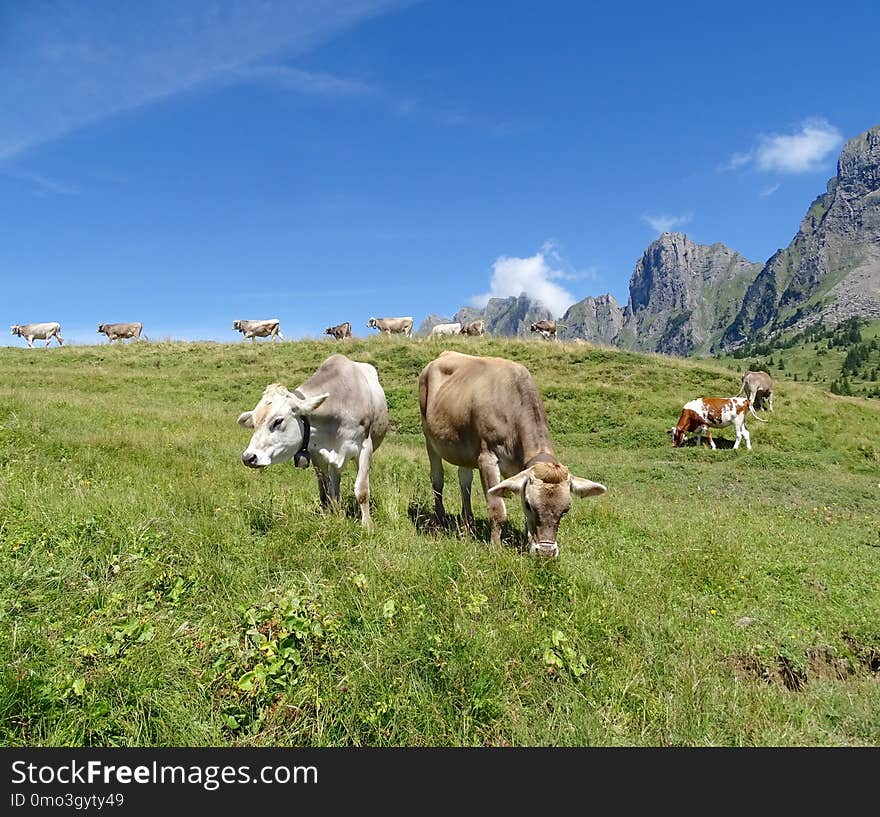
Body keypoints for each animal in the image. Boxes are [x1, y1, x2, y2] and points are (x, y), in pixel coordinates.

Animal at [235, 354, 386, 524]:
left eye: (278, 421)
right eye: (254, 423)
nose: (248, 457)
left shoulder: (366, 447)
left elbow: (362, 490)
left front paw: (367, 525)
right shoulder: (317, 454)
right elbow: (325, 490)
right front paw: (333, 515)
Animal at [418, 348, 604, 556]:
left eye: (565, 510)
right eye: (530, 505)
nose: (546, 552)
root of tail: (444, 354)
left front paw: (528, 541)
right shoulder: (487, 458)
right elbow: (496, 508)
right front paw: (496, 548)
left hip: (463, 447)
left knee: (464, 481)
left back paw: (467, 525)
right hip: (429, 437)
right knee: (437, 478)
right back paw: (440, 519)